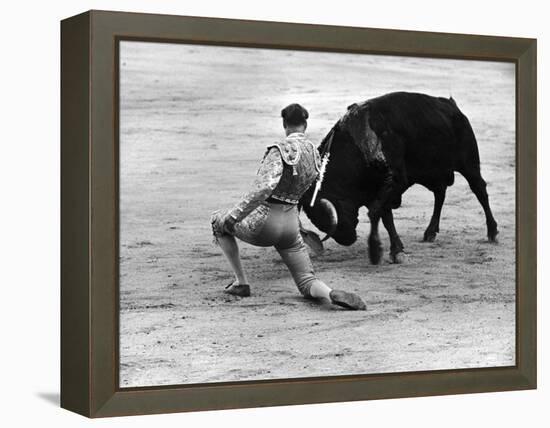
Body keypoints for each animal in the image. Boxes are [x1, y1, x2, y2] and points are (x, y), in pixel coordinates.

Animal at [302, 92, 500, 262]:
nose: (346, 239)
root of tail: (451, 105)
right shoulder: (378, 190)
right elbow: (385, 217)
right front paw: (396, 249)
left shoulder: (394, 182)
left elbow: (376, 212)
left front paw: (377, 250)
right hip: (431, 173)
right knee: (440, 194)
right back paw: (430, 232)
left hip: (469, 164)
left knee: (479, 190)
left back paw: (492, 232)